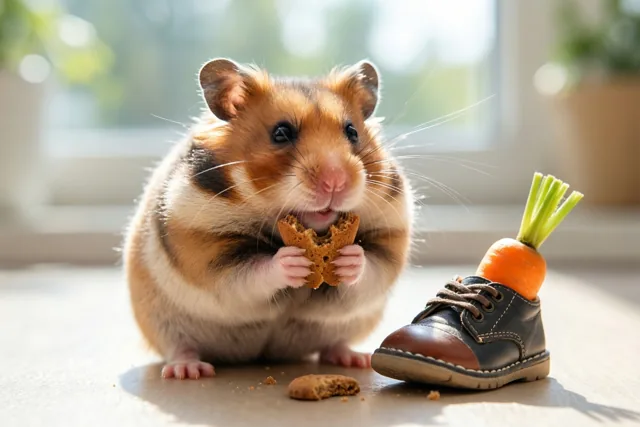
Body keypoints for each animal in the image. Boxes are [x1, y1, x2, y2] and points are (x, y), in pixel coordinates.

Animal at [123, 58, 414, 379]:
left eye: (352, 131)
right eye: (281, 133)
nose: (335, 182)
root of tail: (261, 353)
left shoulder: (391, 234)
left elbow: (370, 269)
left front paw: (348, 258)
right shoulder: (206, 247)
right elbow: (254, 271)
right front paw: (292, 261)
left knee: (334, 343)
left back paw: (354, 359)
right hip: (162, 323)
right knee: (180, 347)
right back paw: (188, 370)